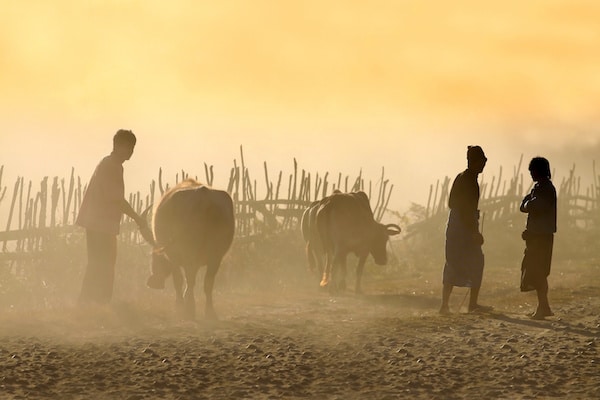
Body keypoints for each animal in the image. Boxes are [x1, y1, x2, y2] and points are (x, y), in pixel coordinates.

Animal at [143, 178, 234, 318]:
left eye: (155, 257)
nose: (153, 283)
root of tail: (203, 194)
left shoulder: (174, 257)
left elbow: (178, 280)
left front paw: (179, 306)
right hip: (216, 256)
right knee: (208, 282)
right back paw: (209, 312)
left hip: (190, 252)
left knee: (190, 279)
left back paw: (189, 308)